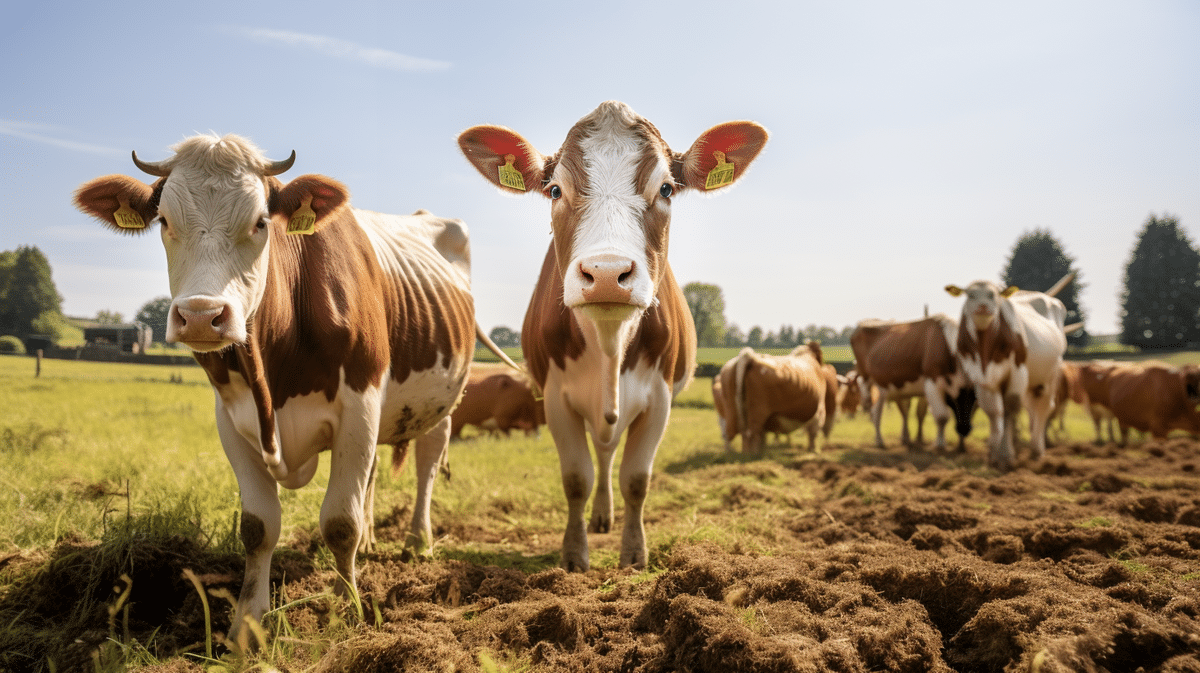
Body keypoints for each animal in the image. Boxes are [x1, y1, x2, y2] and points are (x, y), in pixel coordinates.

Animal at [74, 134, 480, 645]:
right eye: (164, 220)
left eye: (260, 221)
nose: (202, 315)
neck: (276, 367)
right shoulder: (231, 419)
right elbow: (258, 526)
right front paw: (246, 626)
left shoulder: (360, 405)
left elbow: (339, 522)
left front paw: (347, 608)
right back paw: (373, 542)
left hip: (443, 400)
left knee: (427, 463)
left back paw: (417, 542)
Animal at [458, 101, 767, 571]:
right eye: (554, 191)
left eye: (667, 189)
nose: (606, 273)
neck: (608, 343)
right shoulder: (555, 399)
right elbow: (576, 479)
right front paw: (574, 553)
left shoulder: (659, 400)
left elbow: (636, 479)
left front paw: (634, 554)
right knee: (601, 456)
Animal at [850, 315, 975, 451]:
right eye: (960, 397)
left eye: (974, 398)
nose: (964, 429)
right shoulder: (932, 383)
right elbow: (942, 416)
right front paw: (940, 445)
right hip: (866, 379)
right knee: (873, 409)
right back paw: (879, 441)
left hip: (881, 385)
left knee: (876, 411)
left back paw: (880, 440)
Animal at [945, 276, 1071, 470]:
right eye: (970, 295)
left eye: (993, 295)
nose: (983, 306)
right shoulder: (980, 377)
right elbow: (993, 411)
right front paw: (993, 453)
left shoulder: (1017, 371)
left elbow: (1009, 407)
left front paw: (1005, 455)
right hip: (1033, 382)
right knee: (1031, 407)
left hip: (1051, 374)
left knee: (1044, 408)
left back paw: (1037, 449)